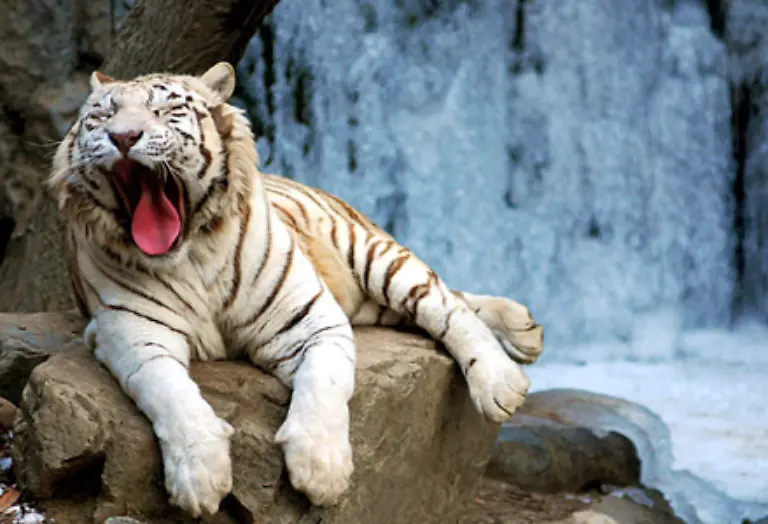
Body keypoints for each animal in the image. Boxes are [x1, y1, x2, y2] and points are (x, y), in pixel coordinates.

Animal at [47, 62, 544, 518]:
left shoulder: (311, 318)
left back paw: (503, 377)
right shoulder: (133, 335)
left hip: (374, 255)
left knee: (444, 303)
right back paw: (524, 328)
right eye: (102, 116)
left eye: (165, 110)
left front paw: (321, 471)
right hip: (371, 303)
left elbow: (324, 383)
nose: (123, 137)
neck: (191, 255)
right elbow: (171, 395)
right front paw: (200, 477)